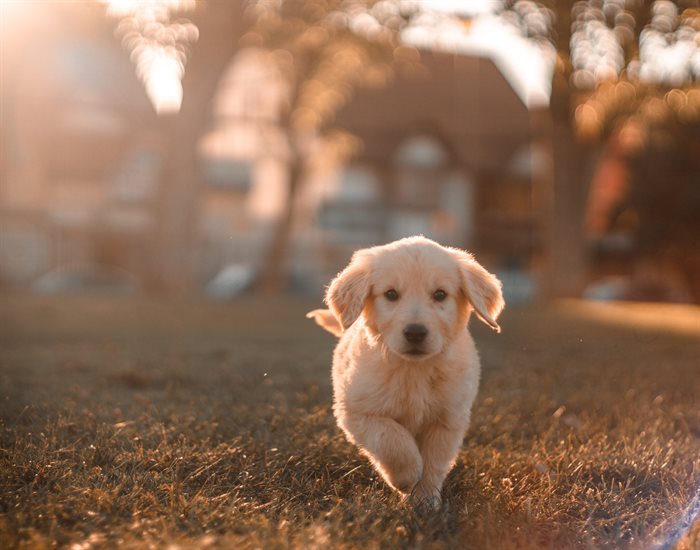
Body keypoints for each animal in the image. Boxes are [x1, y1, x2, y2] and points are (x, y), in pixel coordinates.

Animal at [308, 236, 504, 508]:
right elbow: (392, 439)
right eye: (391, 294)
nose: (415, 333)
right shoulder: (357, 411)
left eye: (440, 294)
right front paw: (406, 477)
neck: (414, 370)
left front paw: (425, 500)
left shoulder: (448, 419)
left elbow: (433, 462)